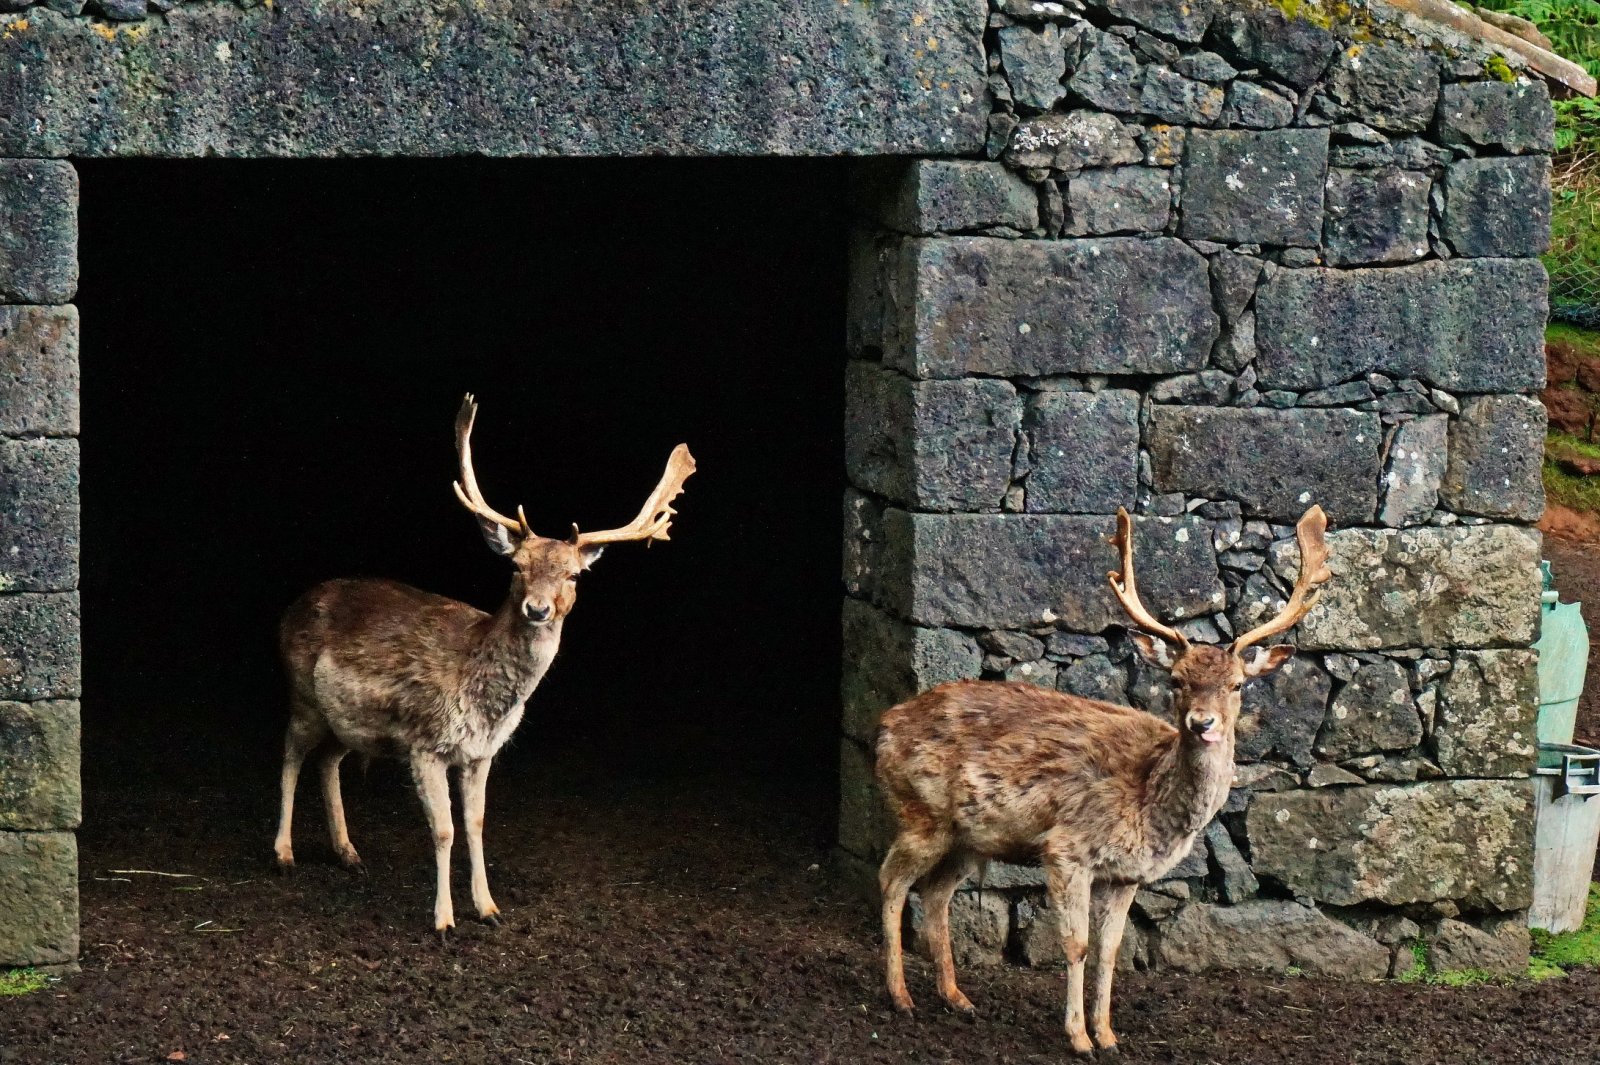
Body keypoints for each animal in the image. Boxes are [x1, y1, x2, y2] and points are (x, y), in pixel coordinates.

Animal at [273, 391, 694, 927]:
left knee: (329, 760)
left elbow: (475, 824)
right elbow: (444, 830)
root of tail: (291, 608)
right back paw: (283, 854)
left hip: (349, 721)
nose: (538, 608)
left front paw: (489, 907)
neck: (482, 694)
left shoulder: (481, 752)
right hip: (302, 694)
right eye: (516, 566)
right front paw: (443, 919)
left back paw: (348, 853)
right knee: (291, 753)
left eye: (574, 575)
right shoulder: (424, 742)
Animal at [870, 502, 1331, 1049]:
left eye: (1238, 684)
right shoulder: (1067, 850)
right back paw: (901, 997)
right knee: (892, 881)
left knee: (936, 892)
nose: (1203, 723)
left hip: (971, 838)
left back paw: (957, 998)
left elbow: (1112, 951)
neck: (1150, 803)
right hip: (920, 812)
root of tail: (885, 724)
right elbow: (1077, 945)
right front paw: (1078, 1037)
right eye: (1176, 680)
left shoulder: (1127, 874)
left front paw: (1108, 1033)